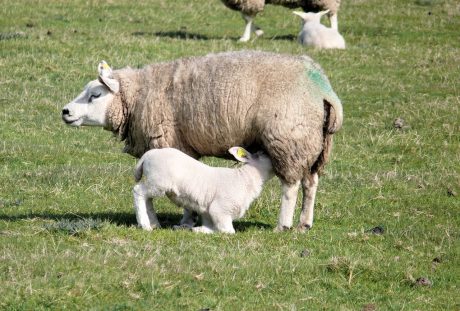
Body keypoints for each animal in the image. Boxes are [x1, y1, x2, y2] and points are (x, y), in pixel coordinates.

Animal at [133, 147, 276, 234]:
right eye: (265, 154)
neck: (244, 179)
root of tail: (148, 154)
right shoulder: (219, 210)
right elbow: (228, 231)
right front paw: (195, 229)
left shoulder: (208, 213)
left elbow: (210, 226)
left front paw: (191, 229)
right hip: (159, 181)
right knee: (138, 191)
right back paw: (145, 224)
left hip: (155, 183)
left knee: (148, 199)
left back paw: (154, 223)